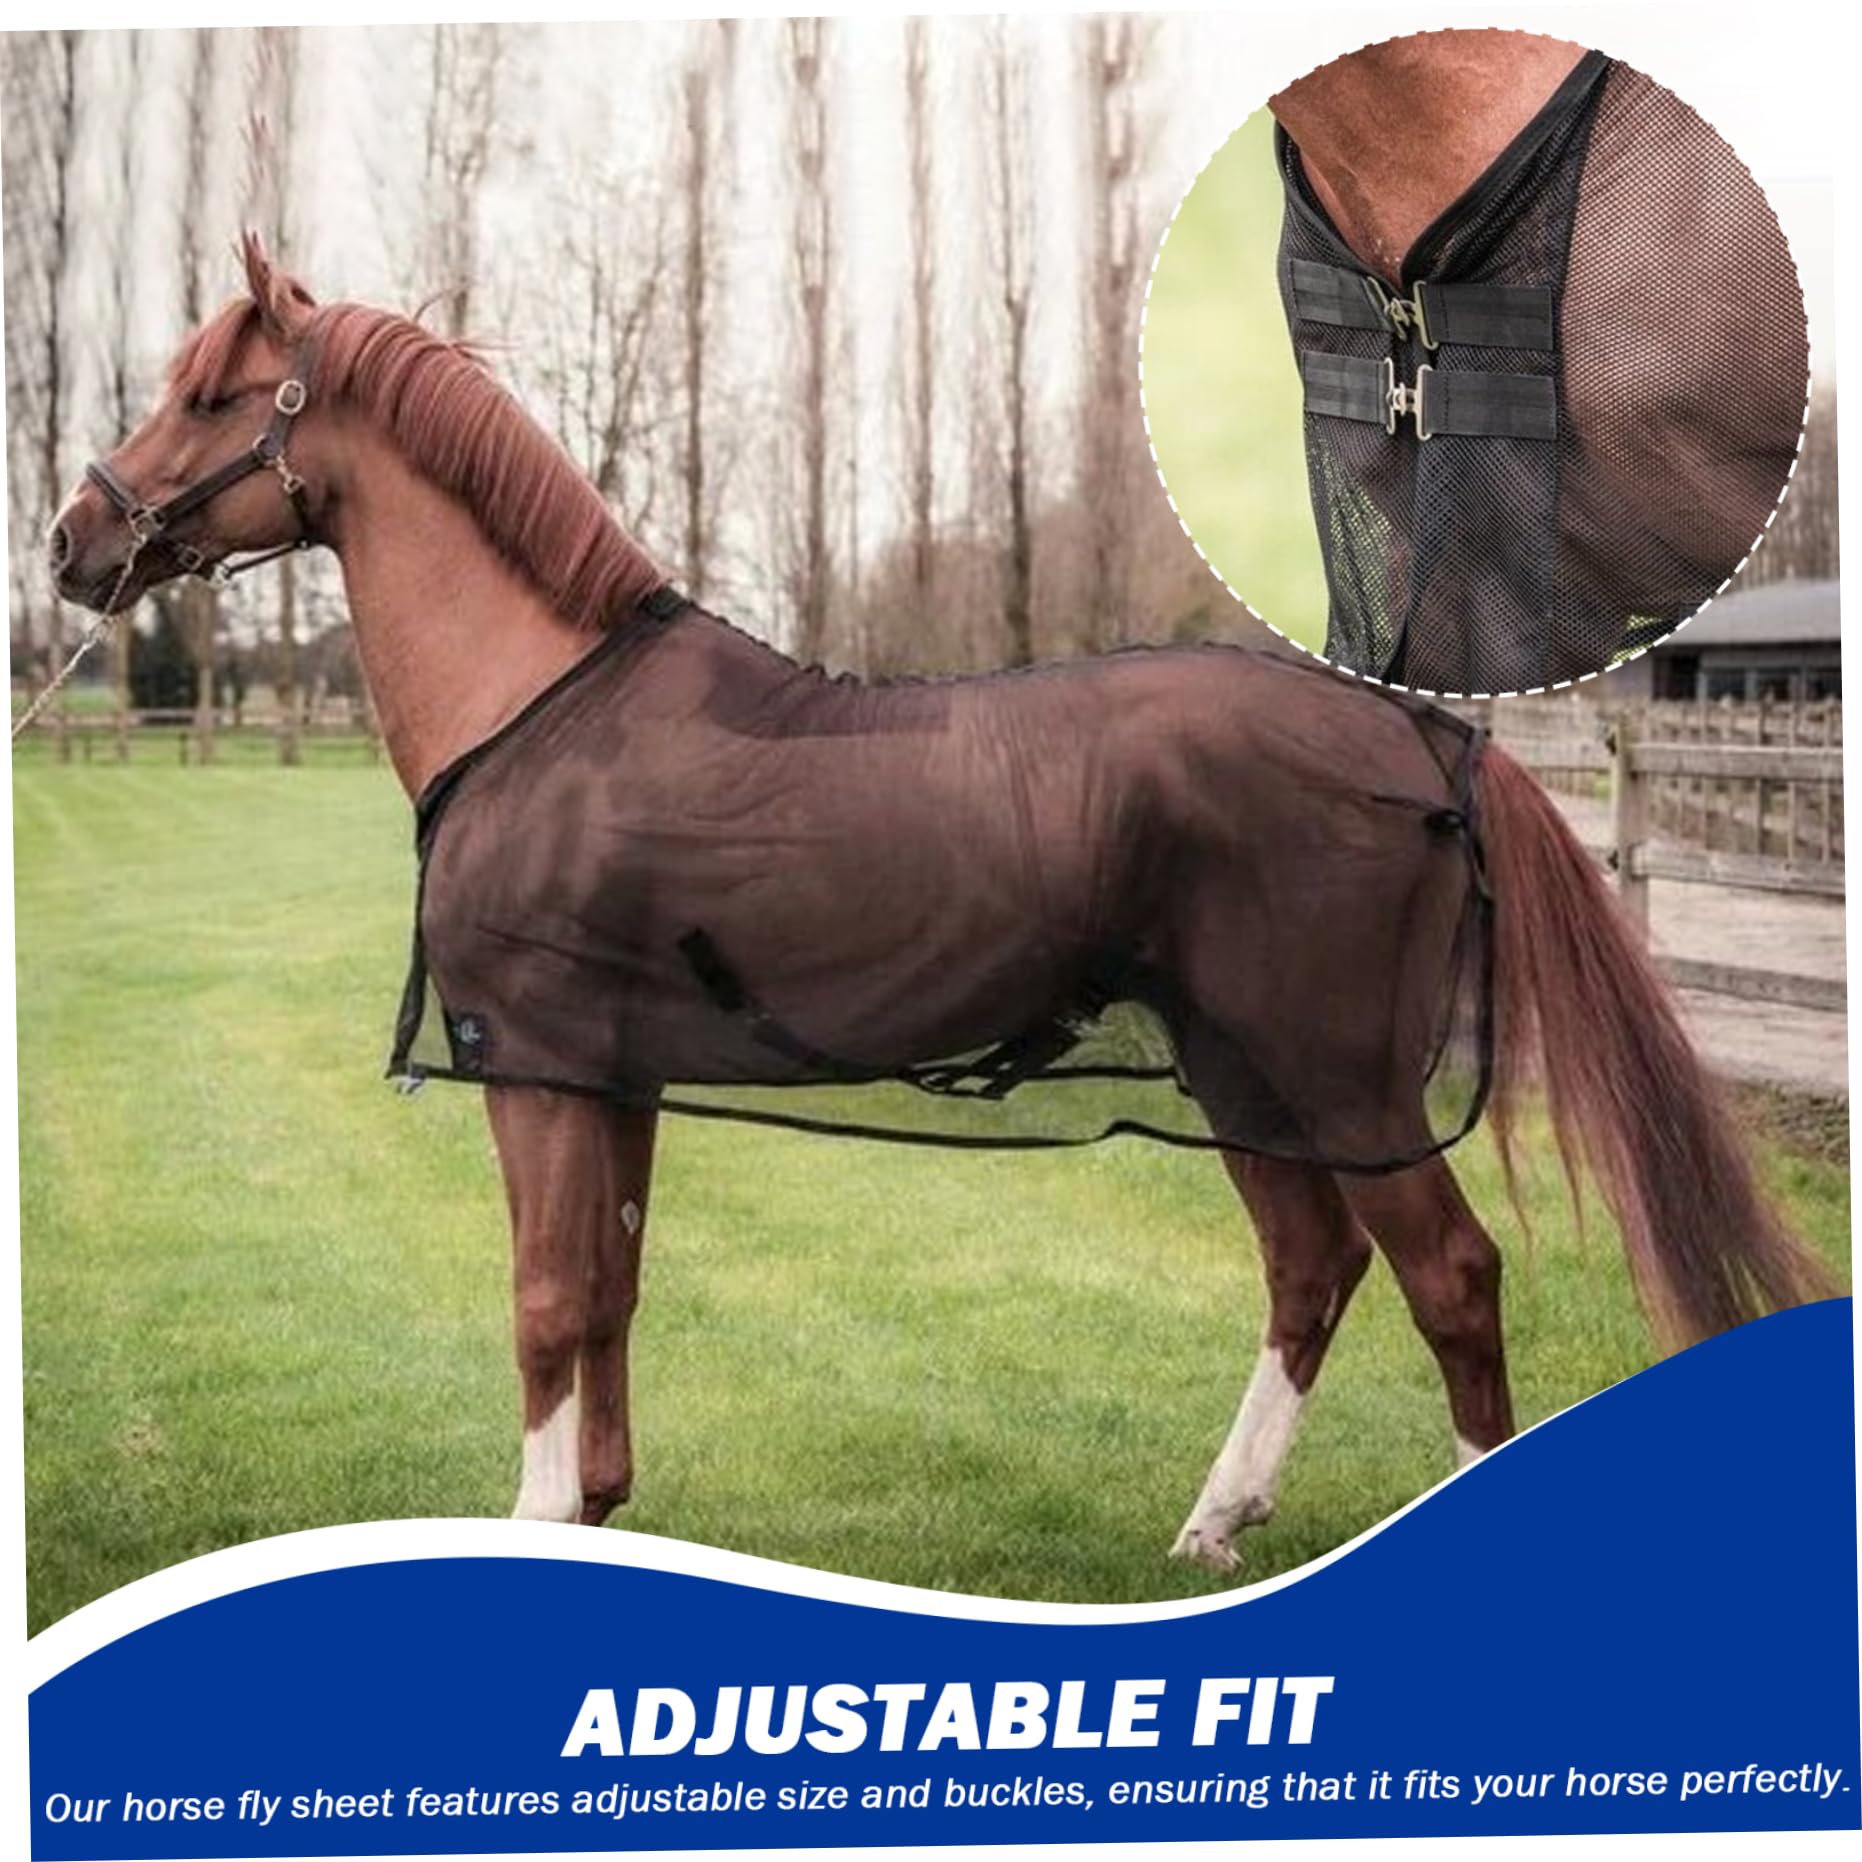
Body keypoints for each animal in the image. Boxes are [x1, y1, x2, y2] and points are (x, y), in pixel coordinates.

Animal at [48, 236, 1829, 1577]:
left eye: (209, 392)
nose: (71, 542)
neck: (542, 706)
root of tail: (1417, 729)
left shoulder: (537, 1070)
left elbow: (547, 1299)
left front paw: (540, 1517)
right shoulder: (608, 1078)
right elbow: (610, 1289)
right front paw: (601, 1507)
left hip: (1333, 1076)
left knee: (1447, 1278)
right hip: (1242, 1071)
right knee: (1308, 1269)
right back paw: (1216, 1517)